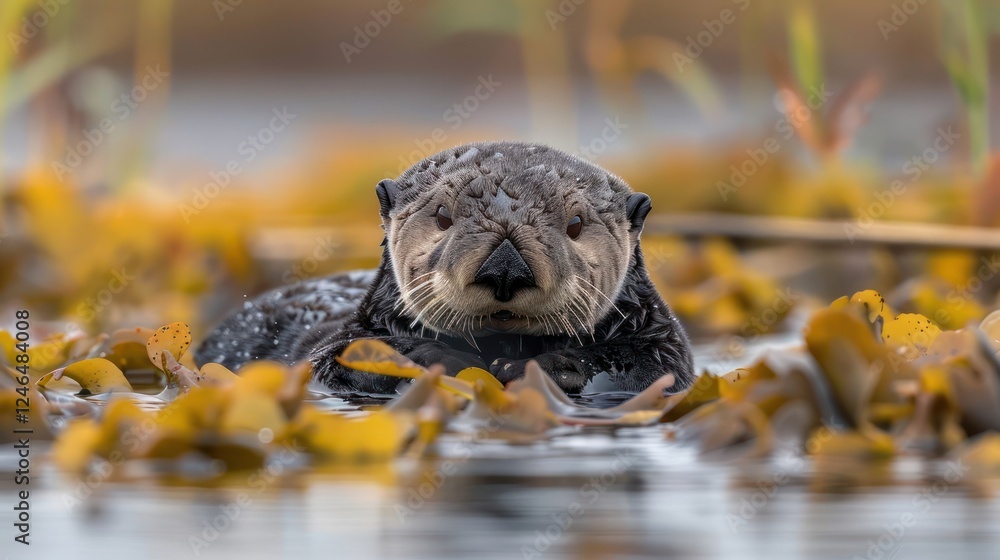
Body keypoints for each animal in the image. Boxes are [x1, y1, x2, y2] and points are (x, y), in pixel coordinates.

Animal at [194, 141, 694, 394]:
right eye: (441, 217)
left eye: (575, 224)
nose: (506, 268)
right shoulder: (335, 343)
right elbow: (331, 358)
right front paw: (438, 358)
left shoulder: (663, 345)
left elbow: (648, 369)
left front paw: (546, 368)